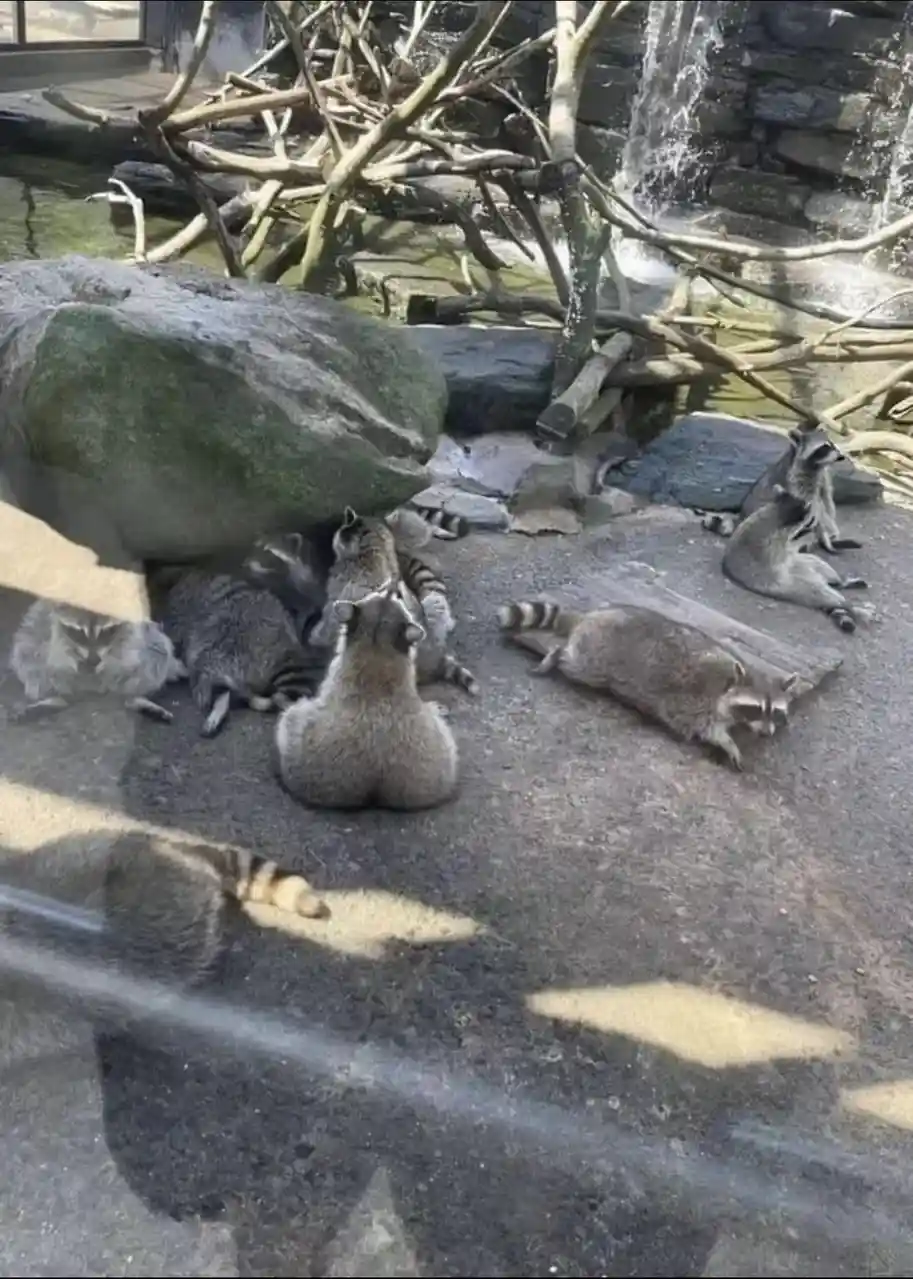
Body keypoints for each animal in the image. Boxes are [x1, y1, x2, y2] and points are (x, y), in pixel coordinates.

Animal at [9, 600, 185, 723]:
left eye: (106, 631)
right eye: (79, 632)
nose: (93, 660)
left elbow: (129, 649)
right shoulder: (52, 619)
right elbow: (52, 642)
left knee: (157, 650)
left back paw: (133, 699)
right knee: (29, 650)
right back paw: (59, 699)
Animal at [498, 599, 798, 770]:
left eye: (775, 712)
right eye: (755, 708)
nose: (767, 734)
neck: (730, 681)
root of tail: (592, 616)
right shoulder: (695, 699)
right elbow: (703, 728)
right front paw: (727, 742)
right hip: (596, 657)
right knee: (576, 663)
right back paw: (557, 654)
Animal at [701, 425, 861, 554]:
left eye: (832, 444)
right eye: (824, 448)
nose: (841, 457)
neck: (816, 466)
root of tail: (741, 519)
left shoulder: (822, 478)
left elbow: (826, 501)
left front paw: (831, 531)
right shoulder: (797, 481)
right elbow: (813, 506)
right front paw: (827, 529)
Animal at [722, 488, 875, 633]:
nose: (810, 507)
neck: (775, 513)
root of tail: (820, 580)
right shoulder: (767, 548)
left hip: (808, 564)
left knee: (823, 569)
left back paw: (843, 582)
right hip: (797, 587)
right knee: (824, 594)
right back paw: (851, 607)